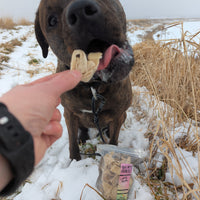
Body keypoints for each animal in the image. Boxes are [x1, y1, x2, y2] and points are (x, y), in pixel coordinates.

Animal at [34, 0, 134, 160]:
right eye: (52, 20)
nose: (80, 10)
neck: (93, 87)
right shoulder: (69, 113)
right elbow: (72, 141)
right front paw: (75, 159)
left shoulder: (119, 114)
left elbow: (113, 140)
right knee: (82, 129)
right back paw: (83, 137)